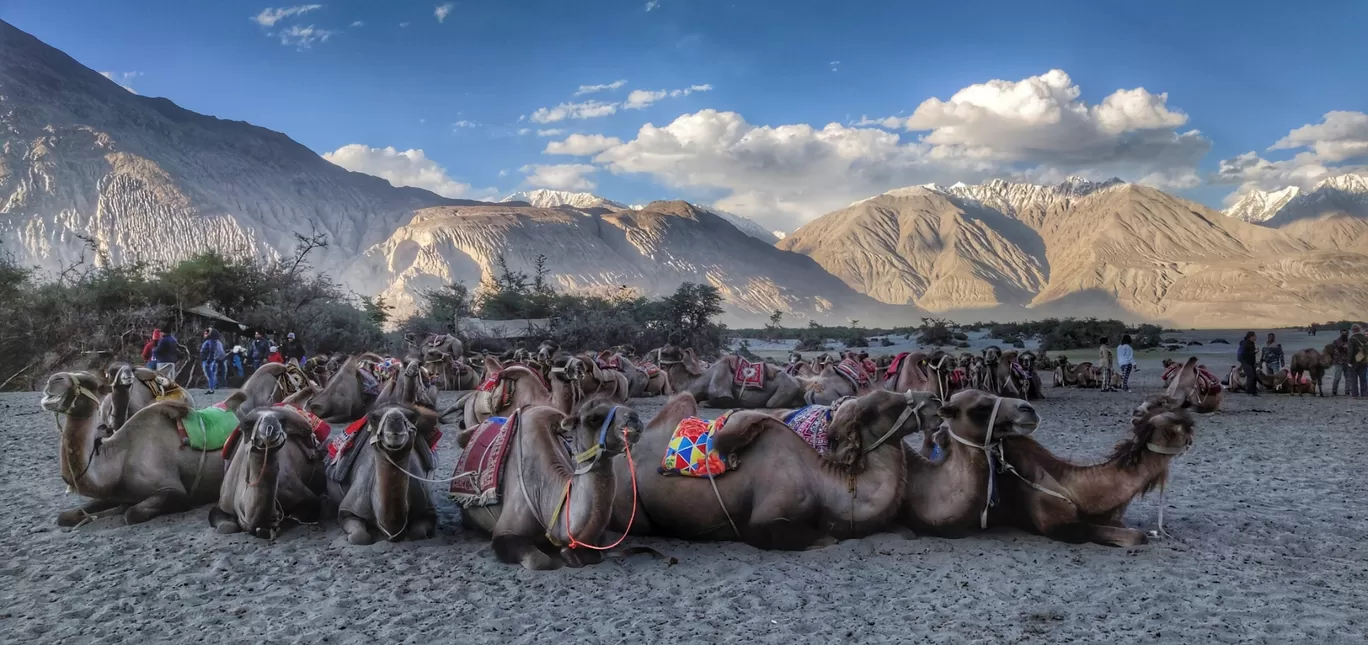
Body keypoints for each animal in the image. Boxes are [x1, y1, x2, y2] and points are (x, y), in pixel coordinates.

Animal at [40, 372, 227, 528]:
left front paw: (123, 509)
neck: (119, 460)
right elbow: (64, 516)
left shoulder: (174, 491)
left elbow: (131, 513)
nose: (53, 379)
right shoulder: (113, 494)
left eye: (88, 382)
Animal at [207, 405, 325, 539]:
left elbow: (299, 513)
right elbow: (226, 526)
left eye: (282, 421)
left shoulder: (304, 495)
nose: (270, 425)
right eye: (247, 424)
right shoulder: (223, 504)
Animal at [610, 388, 941, 550]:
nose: (935, 400)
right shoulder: (765, 521)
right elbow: (825, 538)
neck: (824, 484)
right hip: (631, 507)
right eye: (884, 407)